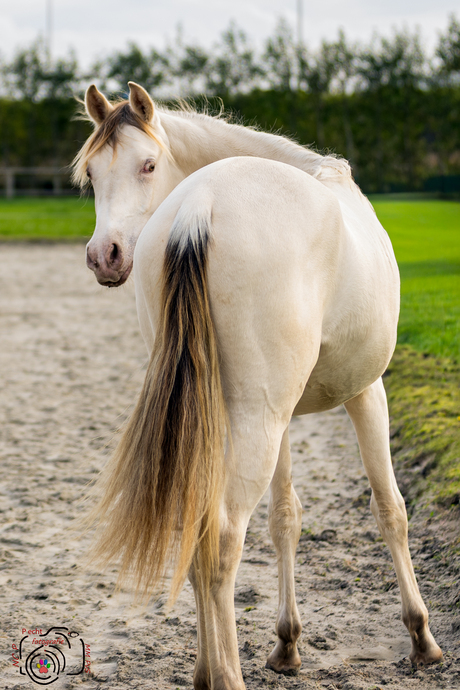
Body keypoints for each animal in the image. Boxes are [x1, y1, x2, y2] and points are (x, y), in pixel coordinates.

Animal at [73, 82, 443, 689]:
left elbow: (285, 518)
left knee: (199, 532)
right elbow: (390, 508)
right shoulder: (367, 391)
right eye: (92, 175)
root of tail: (199, 206)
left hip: (236, 419)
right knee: (222, 541)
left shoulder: (286, 416)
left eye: (146, 165)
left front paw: (288, 644)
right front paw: (422, 638)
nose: (104, 256)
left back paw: (206, 671)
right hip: (261, 420)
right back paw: (226, 675)